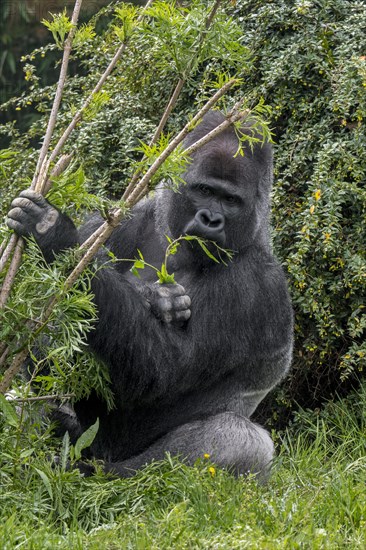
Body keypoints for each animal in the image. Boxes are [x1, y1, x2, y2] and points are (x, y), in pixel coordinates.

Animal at [5, 112, 294, 484]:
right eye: (204, 191)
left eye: (231, 201)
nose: (211, 219)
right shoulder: (119, 220)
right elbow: (44, 334)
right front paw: (158, 299)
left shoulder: (255, 284)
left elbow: (162, 369)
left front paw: (54, 235)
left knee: (240, 442)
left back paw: (101, 474)